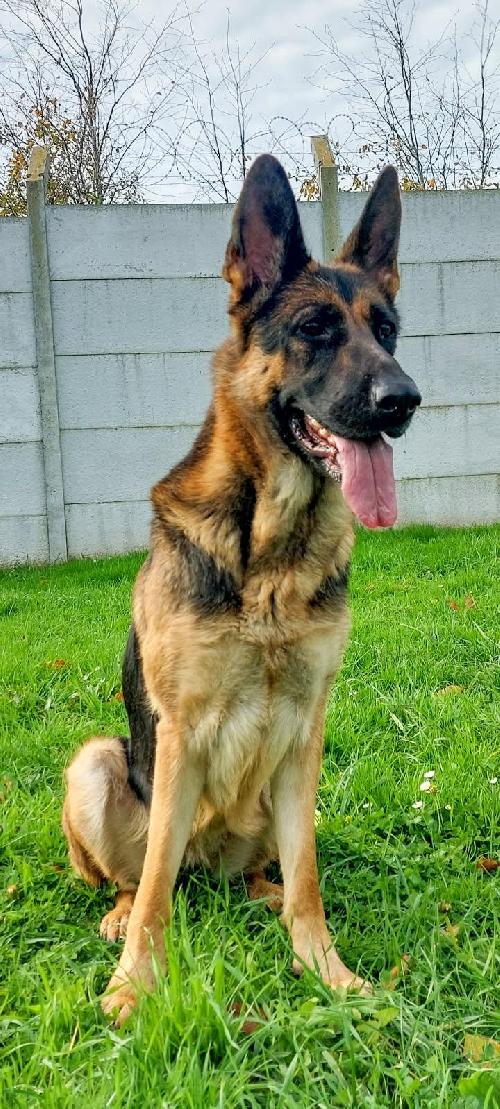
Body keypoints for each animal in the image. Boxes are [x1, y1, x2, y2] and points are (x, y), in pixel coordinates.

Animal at [62, 155, 421, 1024]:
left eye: (386, 330)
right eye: (315, 330)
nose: (403, 401)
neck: (272, 549)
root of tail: (215, 865)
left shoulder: (306, 729)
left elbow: (309, 878)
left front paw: (328, 971)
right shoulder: (182, 731)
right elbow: (155, 890)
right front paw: (136, 983)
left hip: (273, 803)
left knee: (271, 871)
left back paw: (261, 895)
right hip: (97, 765)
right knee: (143, 875)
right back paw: (117, 913)